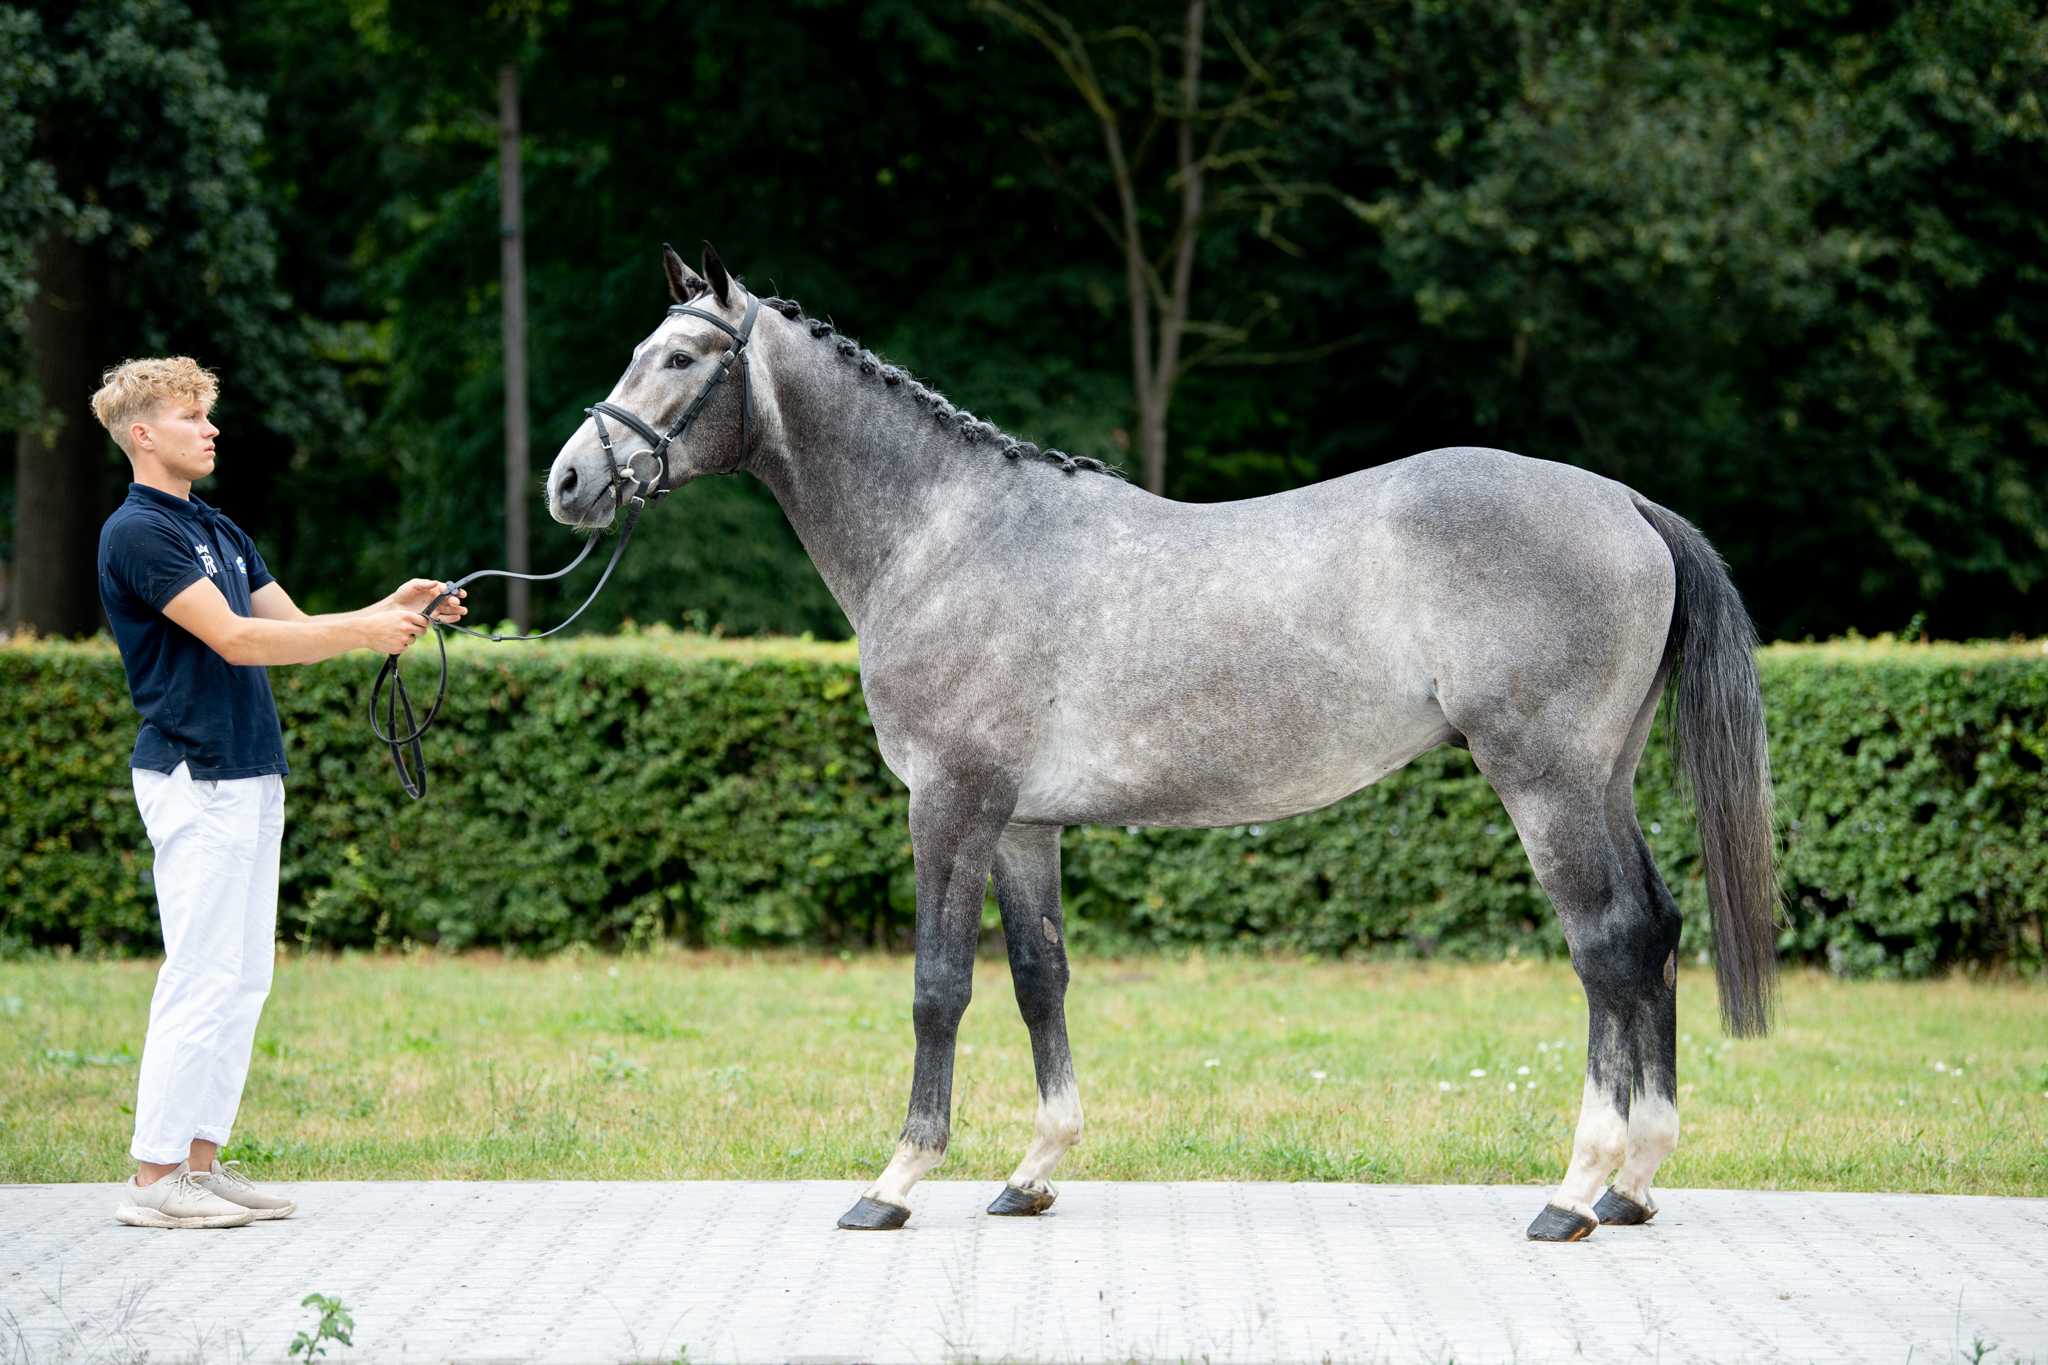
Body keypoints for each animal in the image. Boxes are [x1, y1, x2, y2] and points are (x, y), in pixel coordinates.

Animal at [544, 244, 1779, 1242]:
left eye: (676, 358)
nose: (569, 481)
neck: (945, 536)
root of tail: (1622, 503)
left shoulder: (947, 802)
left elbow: (939, 985)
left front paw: (893, 1181)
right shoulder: (1021, 823)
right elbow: (1039, 978)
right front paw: (1032, 1171)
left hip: (1544, 784)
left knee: (1607, 947)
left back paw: (1574, 1191)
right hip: (1602, 779)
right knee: (1655, 931)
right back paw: (1634, 1181)